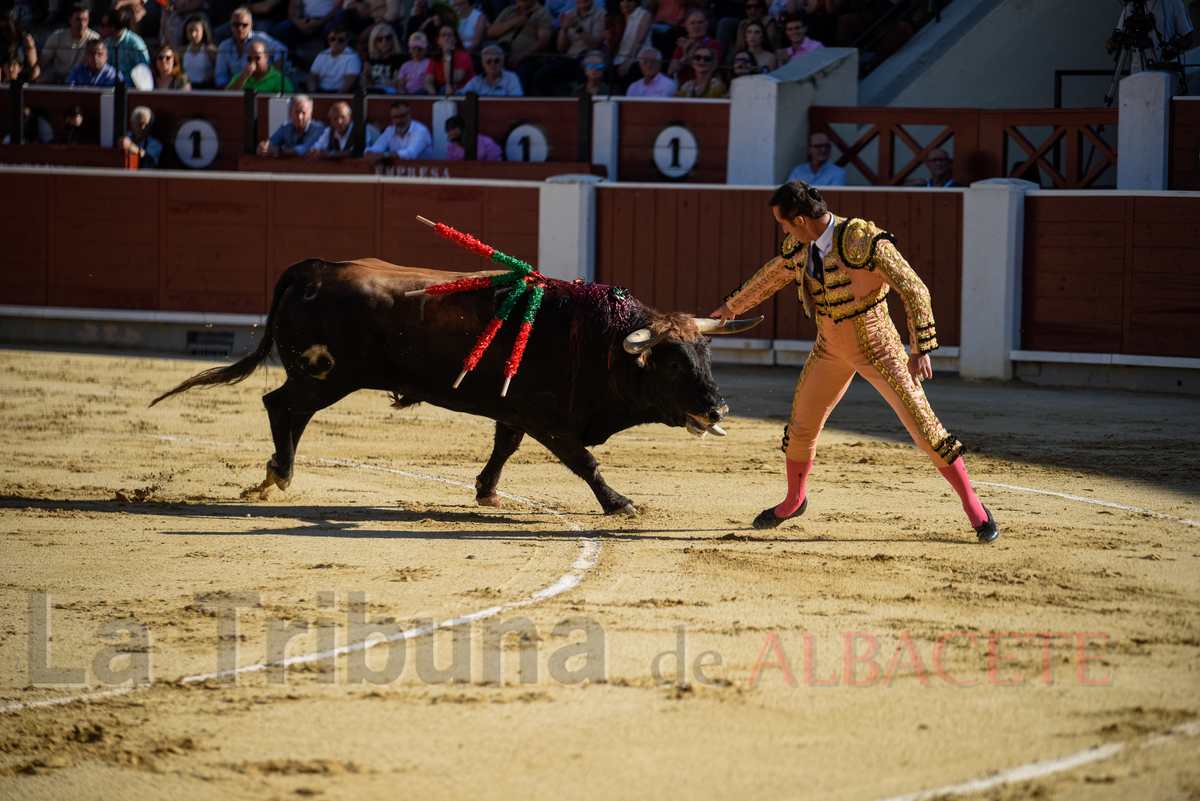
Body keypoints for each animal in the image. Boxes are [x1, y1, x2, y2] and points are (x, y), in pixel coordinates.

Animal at [152, 260, 758, 515]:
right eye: (672, 364)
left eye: (706, 354)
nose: (719, 407)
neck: (595, 339)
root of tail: (310, 269)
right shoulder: (550, 420)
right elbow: (585, 463)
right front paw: (620, 504)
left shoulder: (516, 412)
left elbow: (503, 448)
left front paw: (486, 491)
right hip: (326, 376)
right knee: (281, 406)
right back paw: (279, 472)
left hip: (321, 377)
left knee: (289, 411)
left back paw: (278, 473)